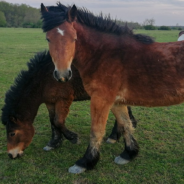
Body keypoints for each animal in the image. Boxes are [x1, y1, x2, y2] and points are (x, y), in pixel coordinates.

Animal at [1, 51, 137, 159]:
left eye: (12, 133)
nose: (11, 155)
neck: (44, 78)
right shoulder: (50, 101)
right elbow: (53, 121)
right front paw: (54, 143)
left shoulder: (63, 99)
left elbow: (58, 121)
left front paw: (73, 138)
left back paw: (114, 136)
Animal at [41, 2, 184, 172]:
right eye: (48, 38)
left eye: (74, 38)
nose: (63, 74)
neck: (105, 55)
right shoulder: (117, 101)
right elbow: (126, 124)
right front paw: (128, 154)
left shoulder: (101, 100)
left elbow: (96, 131)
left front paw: (85, 162)